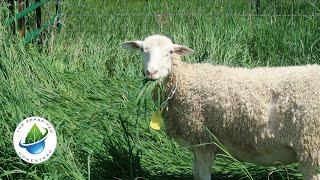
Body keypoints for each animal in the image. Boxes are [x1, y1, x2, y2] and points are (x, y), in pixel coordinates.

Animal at [122, 34, 320, 179]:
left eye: (170, 52)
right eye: (142, 50)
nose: (151, 72)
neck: (183, 81)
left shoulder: (204, 141)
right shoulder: (197, 145)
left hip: (311, 148)